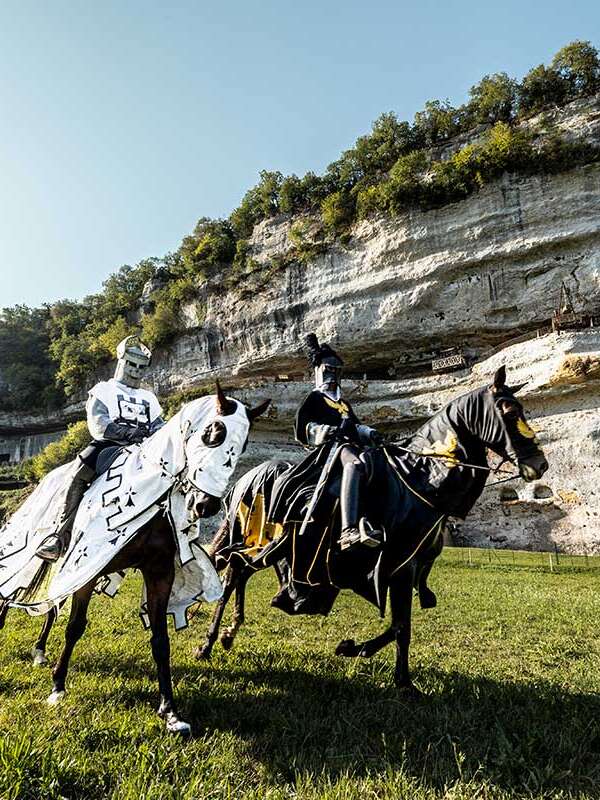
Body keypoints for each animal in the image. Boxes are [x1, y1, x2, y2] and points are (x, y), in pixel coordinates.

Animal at [0, 384, 268, 736]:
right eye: (213, 433)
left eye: (245, 443)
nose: (206, 505)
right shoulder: (88, 568)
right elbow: (75, 627)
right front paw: (58, 687)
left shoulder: (159, 573)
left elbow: (161, 640)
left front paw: (170, 711)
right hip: (36, 551)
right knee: (12, 591)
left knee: (51, 605)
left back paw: (40, 652)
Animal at [197, 368, 548, 692]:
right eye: (509, 412)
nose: (540, 465)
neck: (420, 479)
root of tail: (246, 477)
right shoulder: (398, 568)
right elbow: (401, 626)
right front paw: (390, 673)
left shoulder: (405, 568)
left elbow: (399, 626)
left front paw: (376, 662)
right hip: (254, 540)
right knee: (231, 577)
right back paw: (208, 644)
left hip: (268, 548)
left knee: (239, 573)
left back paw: (228, 635)